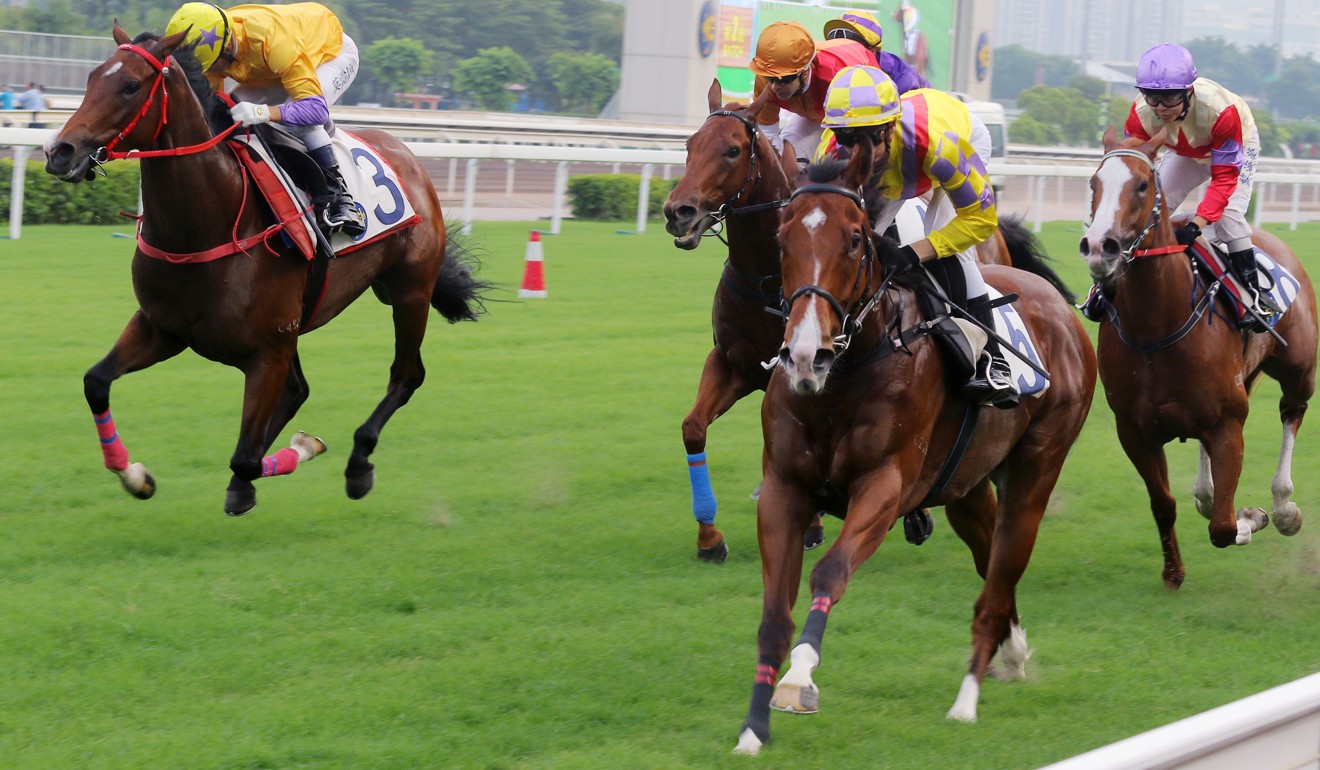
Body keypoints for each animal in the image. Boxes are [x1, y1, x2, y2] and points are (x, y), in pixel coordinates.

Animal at [41, 27, 488, 515]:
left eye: (130, 86)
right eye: (90, 79)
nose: (60, 151)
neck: (206, 224)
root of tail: (408, 155)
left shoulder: (267, 353)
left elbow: (247, 459)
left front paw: (301, 450)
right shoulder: (163, 329)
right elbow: (96, 382)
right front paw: (133, 475)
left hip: (409, 292)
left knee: (406, 375)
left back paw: (358, 464)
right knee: (299, 391)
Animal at [660, 79, 1061, 560]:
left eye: (733, 150)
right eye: (689, 145)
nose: (677, 211)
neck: (765, 277)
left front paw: (812, 524)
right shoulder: (731, 362)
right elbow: (693, 427)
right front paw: (709, 535)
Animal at [733, 137, 1092, 755]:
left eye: (855, 239)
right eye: (782, 239)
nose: (805, 355)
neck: (847, 373)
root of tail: (1059, 311)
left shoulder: (884, 486)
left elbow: (830, 572)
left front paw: (800, 680)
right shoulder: (784, 488)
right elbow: (774, 615)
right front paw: (754, 729)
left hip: (1037, 469)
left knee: (1000, 578)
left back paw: (967, 700)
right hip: (966, 486)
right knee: (990, 562)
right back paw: (1012, 651)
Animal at [1077, 128, 1314, 591]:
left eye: (1142, 185)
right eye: (1094, 183)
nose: (1099, 247)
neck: (1156, 328)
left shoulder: (1228, 422)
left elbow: (1224, 526)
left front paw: (1254, 516)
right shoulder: (1134, 430)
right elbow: (1164, 504)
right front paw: (1173, 570)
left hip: (1298, 370)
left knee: (1291, 413)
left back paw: (1283, 507)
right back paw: (1208, 493)